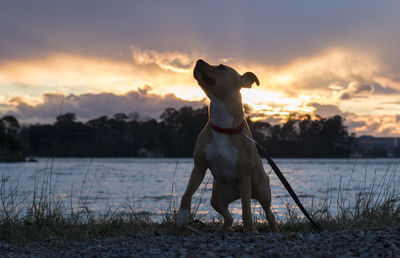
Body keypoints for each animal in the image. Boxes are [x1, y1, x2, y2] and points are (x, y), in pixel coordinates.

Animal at [178, 59, 278, 233]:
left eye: (221, 67)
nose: (199, 60)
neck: (223, 125)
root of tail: (235, 192)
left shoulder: (244, 175)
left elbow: (246, 209)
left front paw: (250, 229)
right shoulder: (199, 167)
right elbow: (187, 192)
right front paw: (183, 216)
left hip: (261, 190)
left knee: (268, 212)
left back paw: (273, 229)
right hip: (217, 197)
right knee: (228, 216)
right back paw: (225, 229)